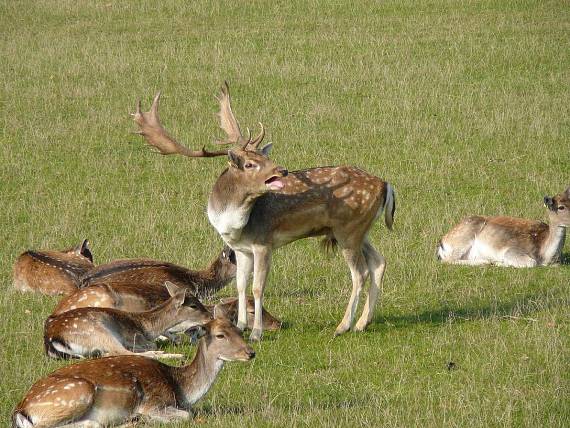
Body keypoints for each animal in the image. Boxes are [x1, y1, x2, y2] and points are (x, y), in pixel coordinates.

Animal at [12, 318, 253, 428]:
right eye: (220, 335)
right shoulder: (154, 402)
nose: (251, 352)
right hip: (77, 392)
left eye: (239, 330)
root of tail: (20, 409)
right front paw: (144, 418)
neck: (180, 389)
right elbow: (187, 415)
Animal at [42, 282, 211, 360]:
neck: (146, 326)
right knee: (118, 352)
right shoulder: (134, 337)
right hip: (98, 331)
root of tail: (51, 340)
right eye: (194, 305)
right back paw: (172, 354)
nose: (210, 316)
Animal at [131, 82, 392, 340]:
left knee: (360, 273)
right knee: (378, 261)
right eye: (249, 164)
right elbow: (240, 285)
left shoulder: (264, 242)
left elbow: (257, 287)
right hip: (358, 230)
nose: (282, 170)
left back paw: (343, 326)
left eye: (265, 157)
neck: (231, 223)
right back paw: (363, 323)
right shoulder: (242, 249)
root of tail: (385, 185)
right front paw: (241, 326)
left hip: (348, 230)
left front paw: (256, 333)